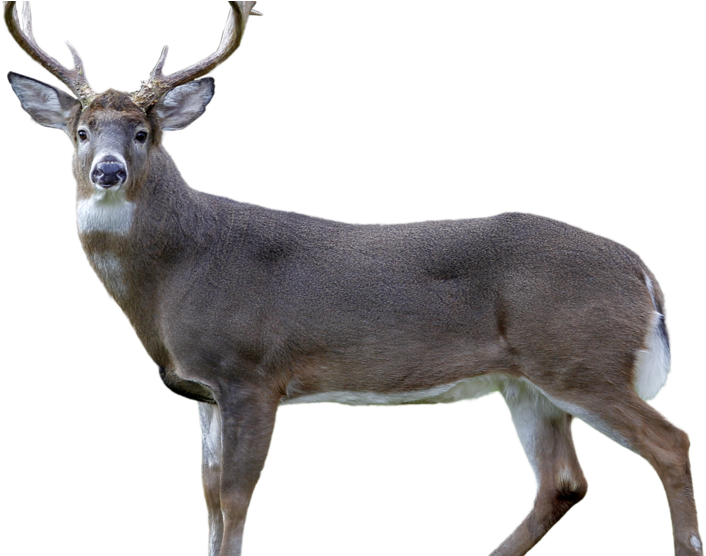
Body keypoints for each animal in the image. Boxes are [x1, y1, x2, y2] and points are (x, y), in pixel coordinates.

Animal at [3, 1, 702, 554]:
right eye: (81, 132)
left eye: (144, 133)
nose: (109, 171)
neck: (179, 273)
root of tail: (643, 273)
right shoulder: (204, 391)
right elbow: (205, 496)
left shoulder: (254, 372)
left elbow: (233, 498)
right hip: (529, 382)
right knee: (563, 482)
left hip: (580, 357)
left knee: (670, 441)